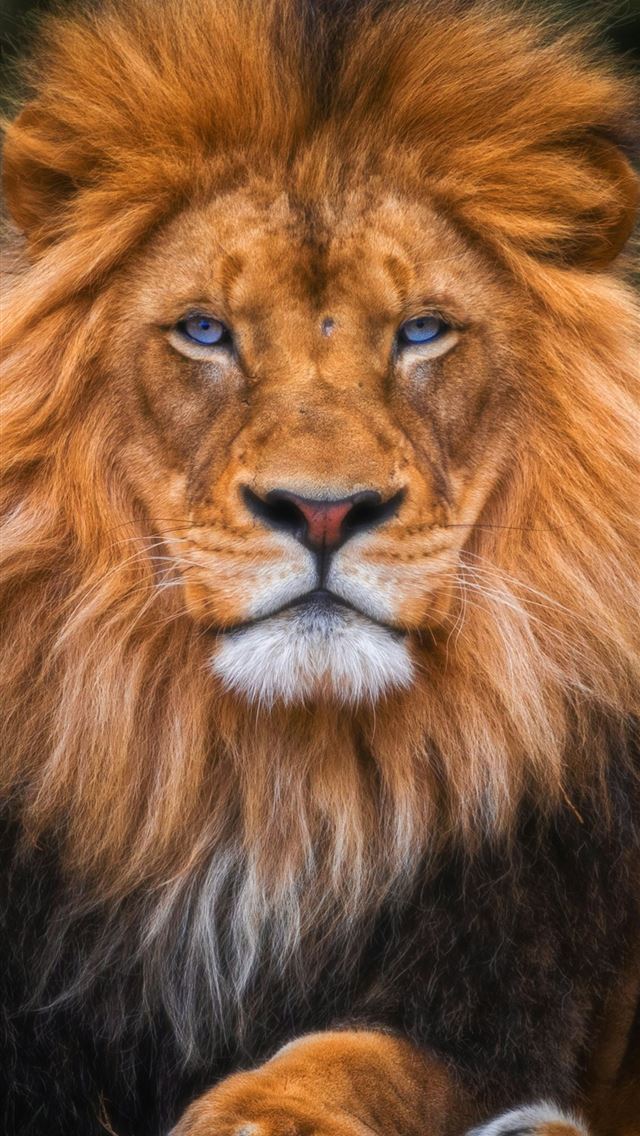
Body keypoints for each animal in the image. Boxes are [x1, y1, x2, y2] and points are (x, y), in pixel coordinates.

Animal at [1, 1, 639, 1134]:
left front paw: (262, 1113)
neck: (273, 785)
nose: (324, 509)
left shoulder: (501, 1002)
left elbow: (360, 1057)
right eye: (205, 331)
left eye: (422, 331)